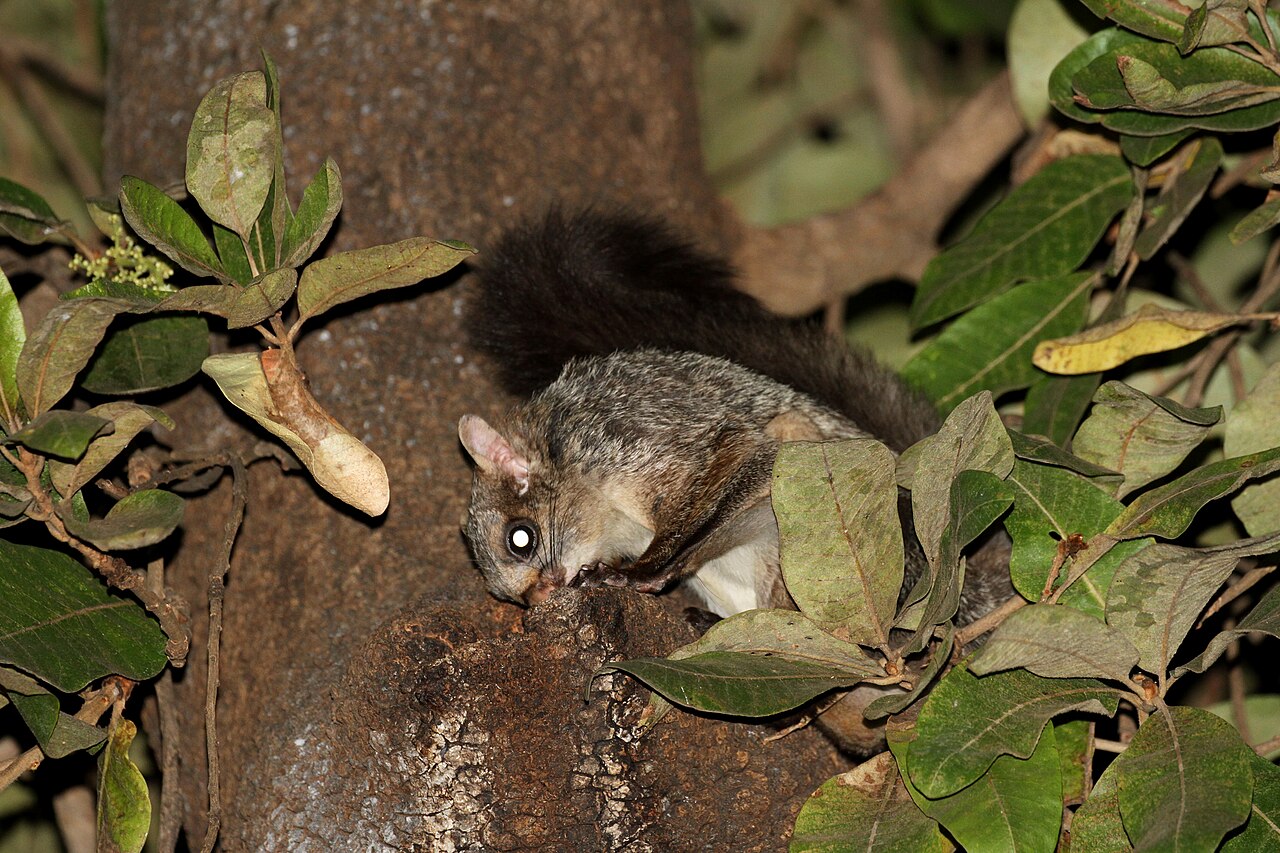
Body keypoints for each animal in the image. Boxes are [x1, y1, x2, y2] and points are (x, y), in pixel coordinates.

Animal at [457, 208, 1011, 627]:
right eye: (505, 595)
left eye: (520, 539)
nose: (538, 600)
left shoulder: (629, 441)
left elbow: (719, 476)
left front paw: (636, 574)